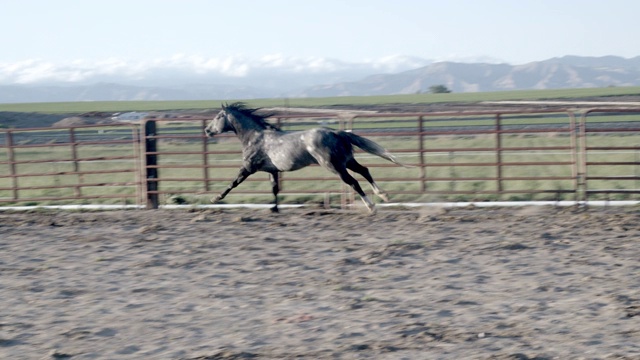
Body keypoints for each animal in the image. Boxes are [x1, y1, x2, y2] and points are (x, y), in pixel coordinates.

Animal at [205, 102, 410, 212]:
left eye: (218, 117)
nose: (207, 130)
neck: (255, 137)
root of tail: (337, 133)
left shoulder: (249, 168)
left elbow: (233, 183)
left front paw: (215, 198)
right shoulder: (272, 170)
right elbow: (275, 189)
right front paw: (275, 209)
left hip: (334, 166)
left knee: (353, 182)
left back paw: (371, 206)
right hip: (347, 161)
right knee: (364, 171)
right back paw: (384, 196)